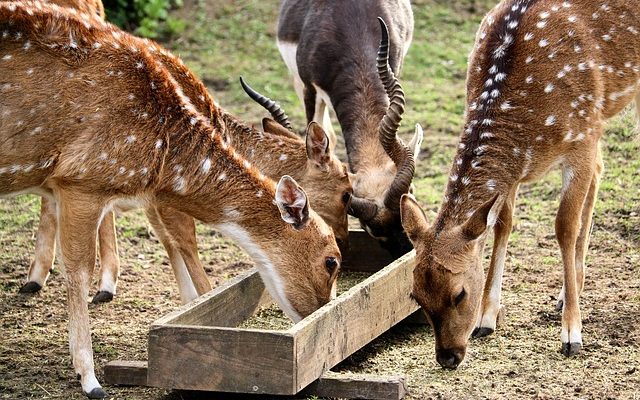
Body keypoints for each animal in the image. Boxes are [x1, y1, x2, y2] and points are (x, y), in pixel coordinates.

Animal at [0, 3, 342, 396]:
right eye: (331, 261)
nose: (321, 315)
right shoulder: (81, 180)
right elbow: (90, 266)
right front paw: (90, 378)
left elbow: (170, 242)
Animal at [400, 0, 640, 368]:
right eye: (416, 295)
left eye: (459, 294)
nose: (448, 357)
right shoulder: (515, 169)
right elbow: (502, 224)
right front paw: (487, 318)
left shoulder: (581, 138)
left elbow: (564, 227)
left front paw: (572, 335)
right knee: (600, 169)